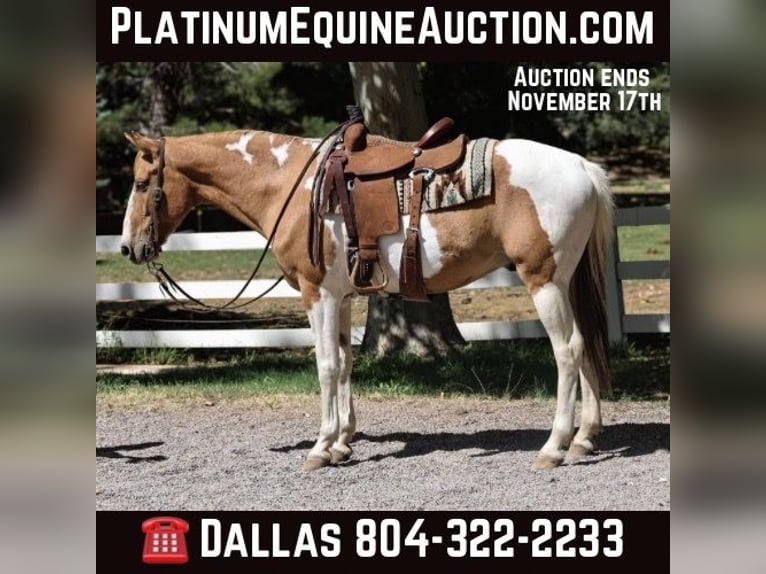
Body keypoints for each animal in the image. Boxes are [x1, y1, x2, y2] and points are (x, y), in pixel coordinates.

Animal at [119, 126, 614, 471]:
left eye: (142, 184)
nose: (127, 248)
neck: (291, 185)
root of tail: (582, 167)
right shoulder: (341, 296)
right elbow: (345, 361)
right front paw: (342, 442)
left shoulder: (317, 293)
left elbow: (325, 365)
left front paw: (320, 448)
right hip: (566, 281)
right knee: (587, 342)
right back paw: (584, 439)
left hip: (543, 280)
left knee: (567, 350)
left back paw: (553, 447)